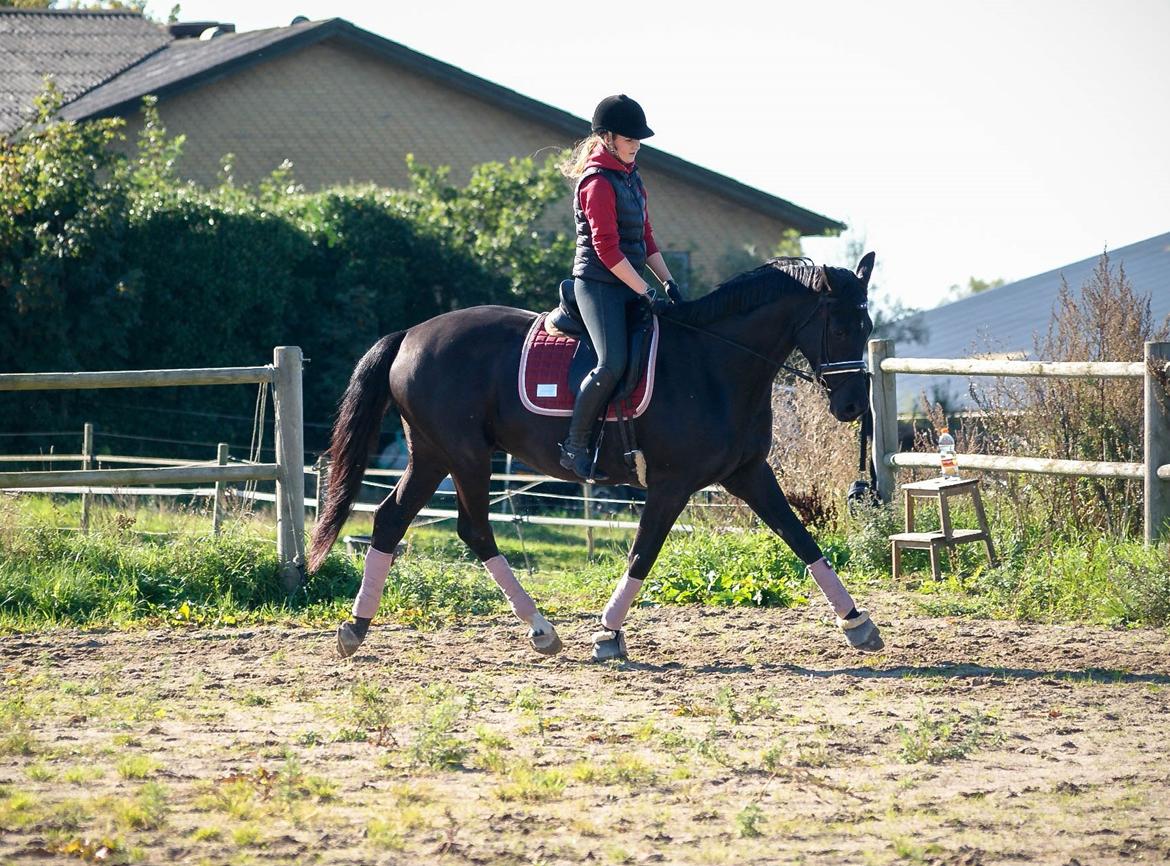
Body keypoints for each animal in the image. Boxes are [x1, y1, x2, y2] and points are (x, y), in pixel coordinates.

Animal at [311, 253, 884, 660]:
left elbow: (800, 537)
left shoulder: (748, 473)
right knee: (473, 530)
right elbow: (643, 554)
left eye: (868, 327)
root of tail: (411, 333)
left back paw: (357, 627)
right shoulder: (671, 484)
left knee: (390, 520)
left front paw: (858, 623)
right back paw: (541, 629)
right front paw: (608, 634)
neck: (713, 363)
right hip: (466, 456)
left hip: (431, 455)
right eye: (840, 327)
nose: (854, 406)